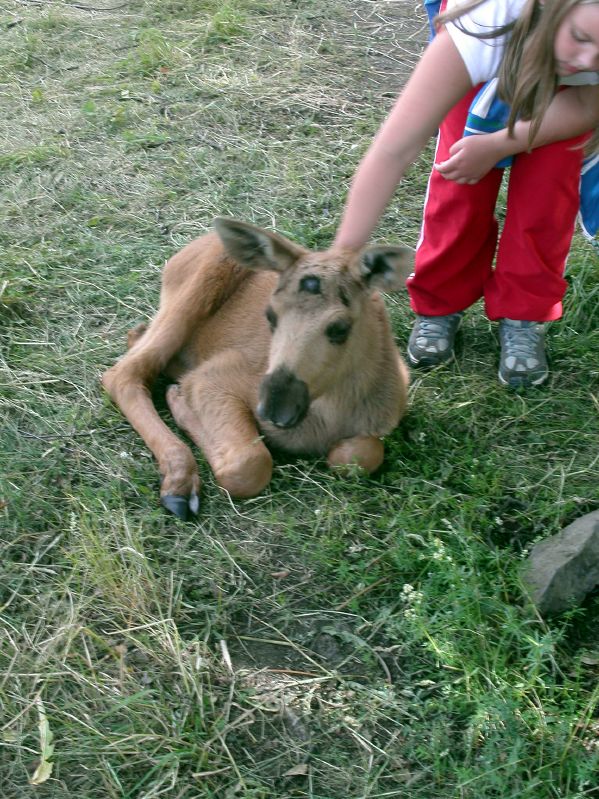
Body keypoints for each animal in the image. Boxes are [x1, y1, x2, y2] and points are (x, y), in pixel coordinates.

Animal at [103, 219, 412, 520]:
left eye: (340, 328)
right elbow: (249, 465)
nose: (276, 406)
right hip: (196, 290)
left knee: (137, 342)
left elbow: (359, 456)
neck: (331, 413)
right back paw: (179, 484)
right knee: (121, 373)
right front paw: (181, 403)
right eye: (270, 315)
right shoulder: (215, 377)